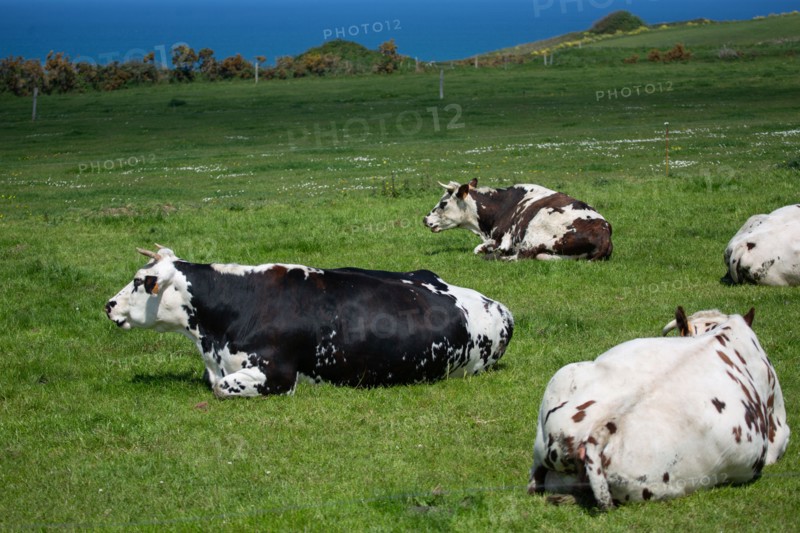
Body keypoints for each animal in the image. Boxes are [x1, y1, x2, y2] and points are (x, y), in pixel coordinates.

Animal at [423, 178, 612, 261]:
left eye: (443, 203)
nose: (425, 219)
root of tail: (603, 231)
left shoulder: (503, 239)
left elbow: (479, 249)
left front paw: (488, 250)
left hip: (534, 232)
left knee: (519, 257)